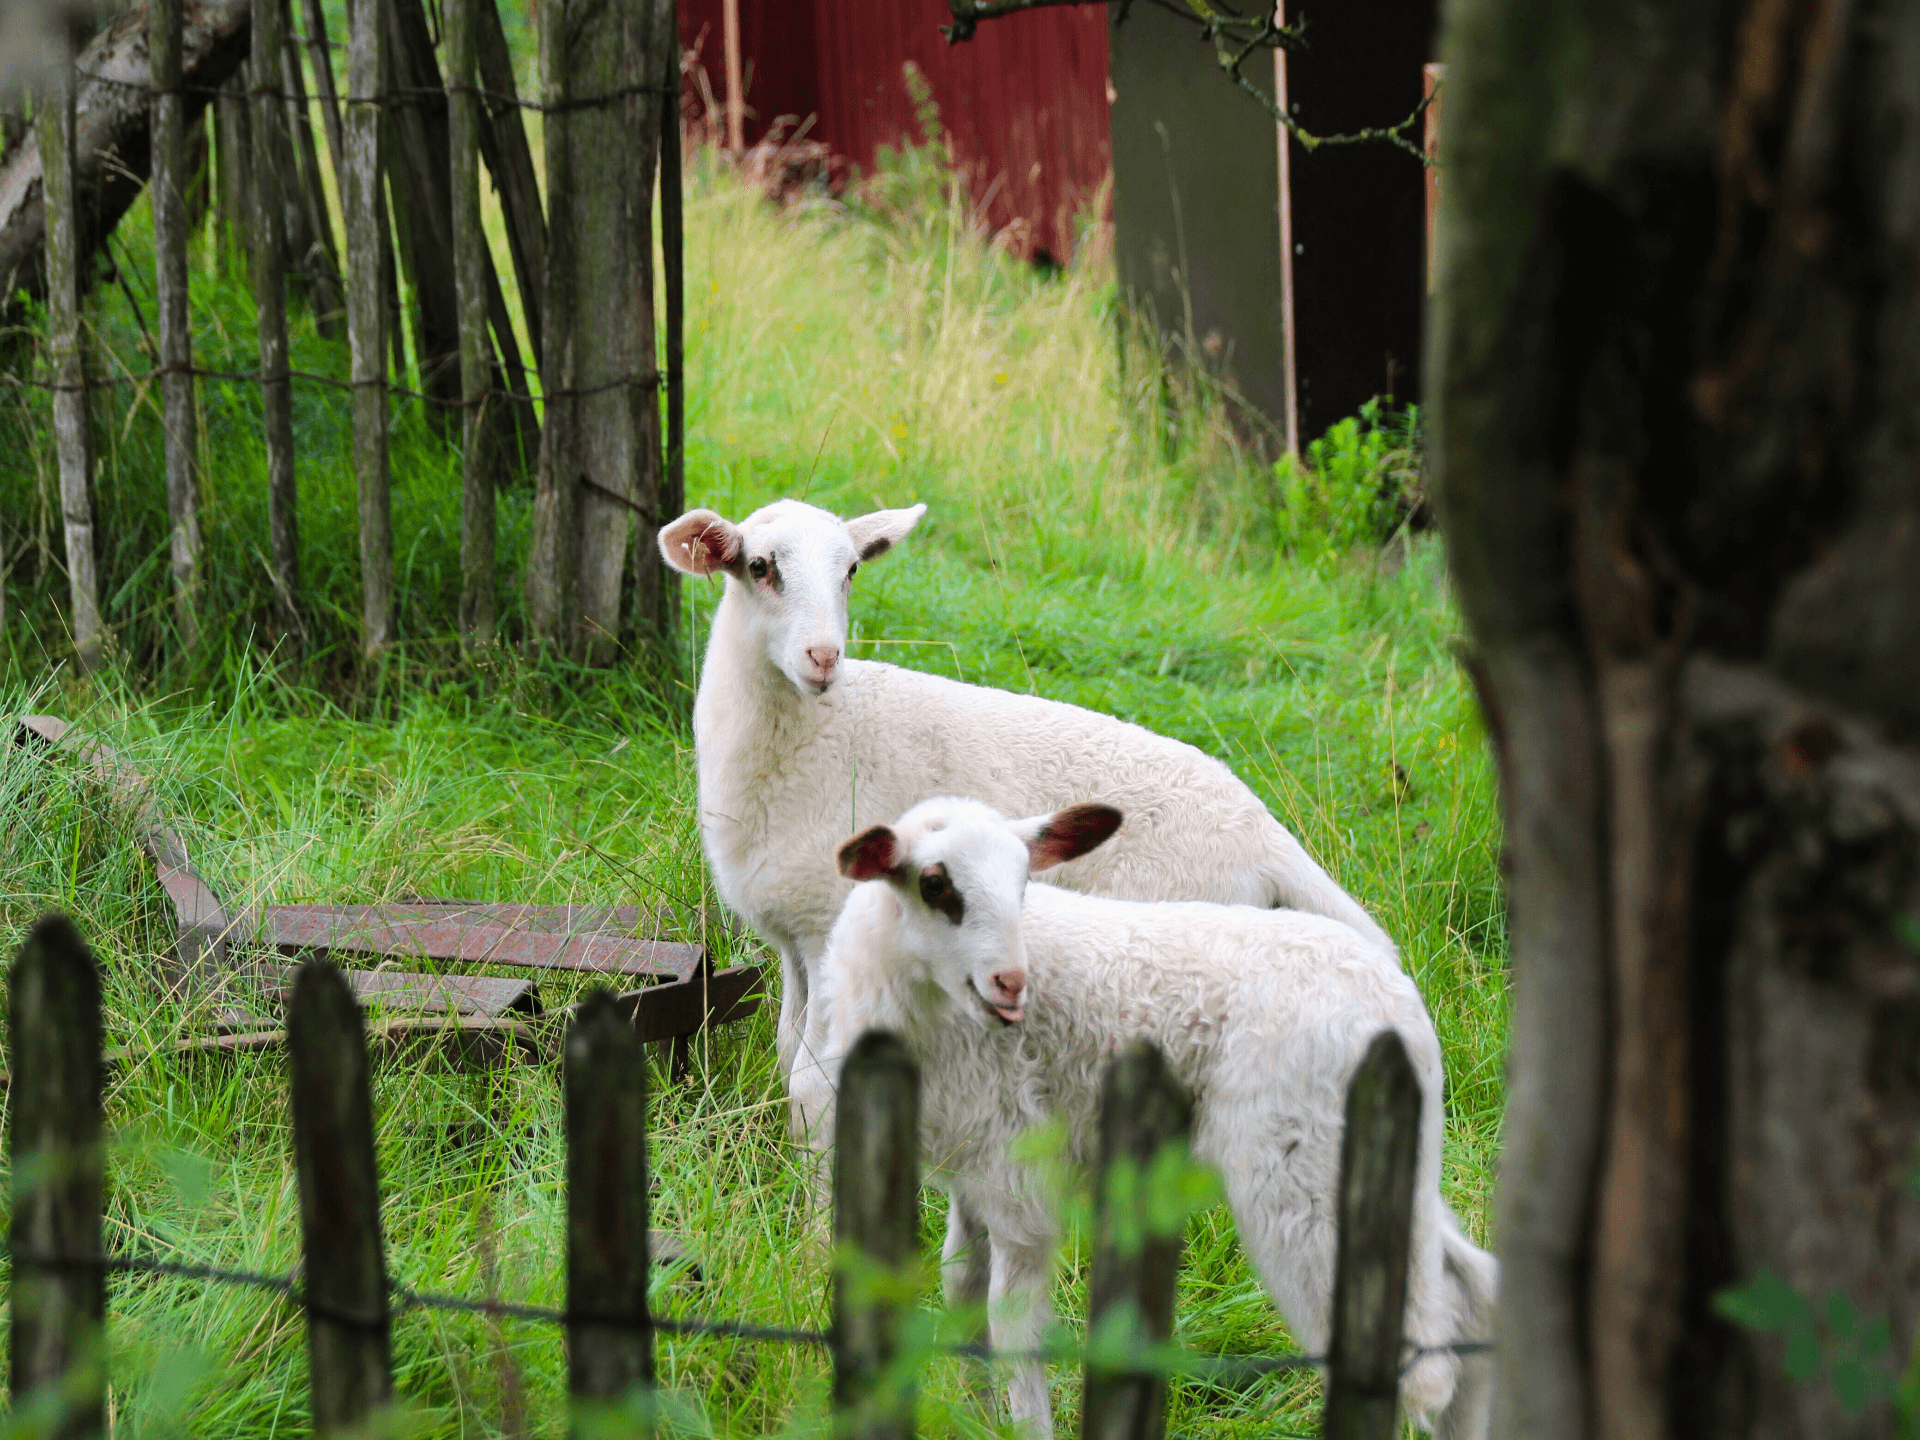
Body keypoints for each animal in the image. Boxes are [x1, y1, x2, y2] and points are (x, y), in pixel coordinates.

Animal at [792, 796, 1496, 1440]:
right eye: (935, 884)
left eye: (1024, 883)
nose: (1011, 983)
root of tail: (1399, 1008)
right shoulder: (974, 1162)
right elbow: (960, 1287)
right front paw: (975, 1415)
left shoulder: (1017, 1172)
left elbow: (1011, 1322)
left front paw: (1023, 1426)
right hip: (1389, 1157)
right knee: (1468, 1295)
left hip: (1300, 1174)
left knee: (1406, 1354)